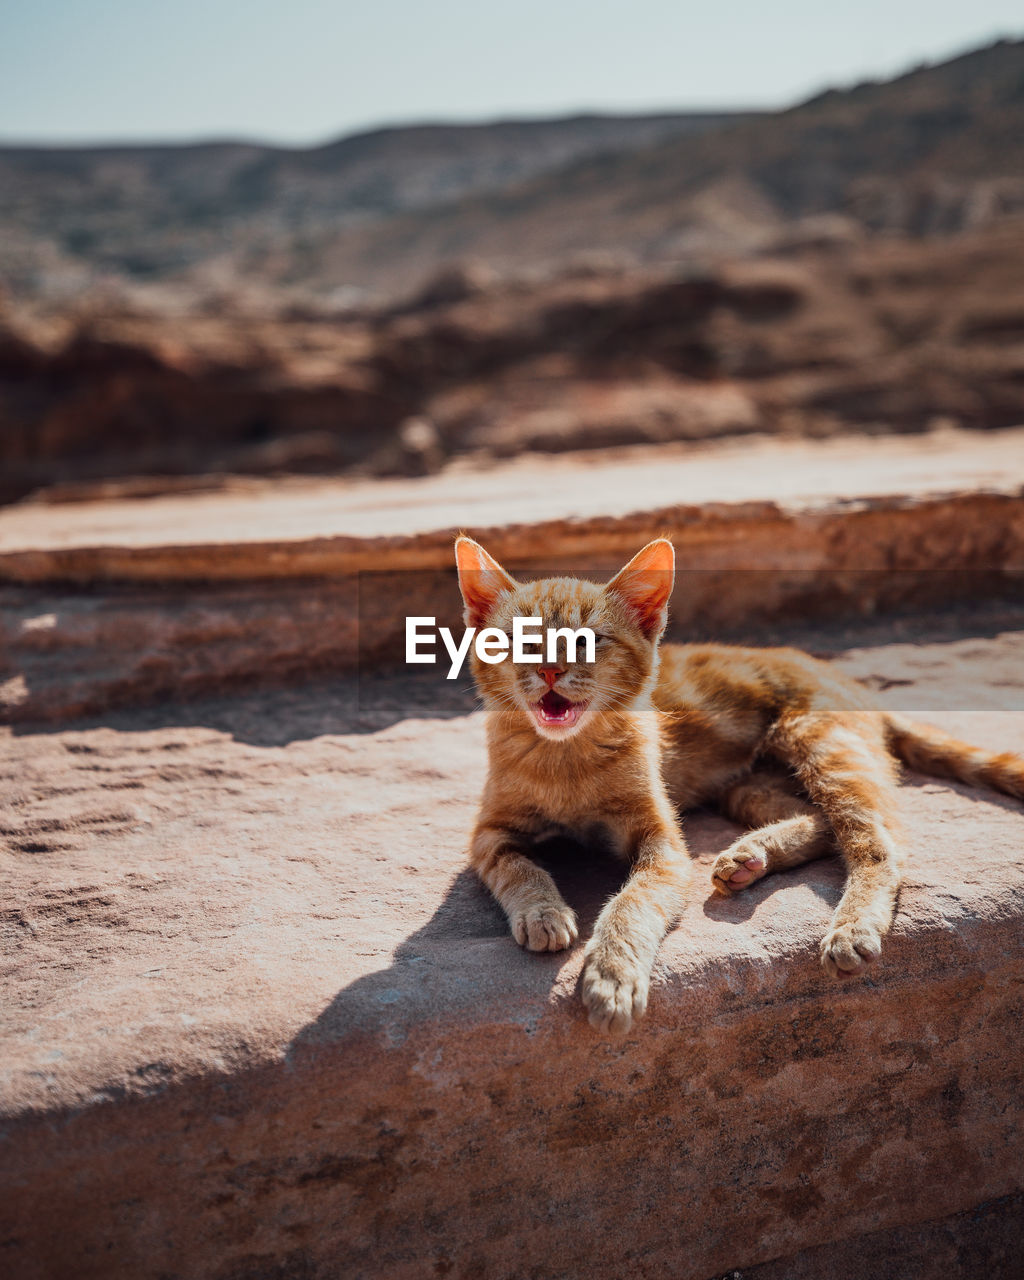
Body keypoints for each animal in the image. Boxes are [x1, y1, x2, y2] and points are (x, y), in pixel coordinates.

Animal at [455, 535, 1024, 1034]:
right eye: (518, 640)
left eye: (588, 640)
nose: (550, 671)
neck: (565, 757)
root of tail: (849, 681)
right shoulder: (488, 834)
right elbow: (520, 869)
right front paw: (544, 913)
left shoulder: (664, 844)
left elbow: (631, 903)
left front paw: (612, 976)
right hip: (749, 785)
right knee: (823, 821)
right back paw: (750, 857)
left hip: (823, 745)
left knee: (878, 840)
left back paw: (850, 927)